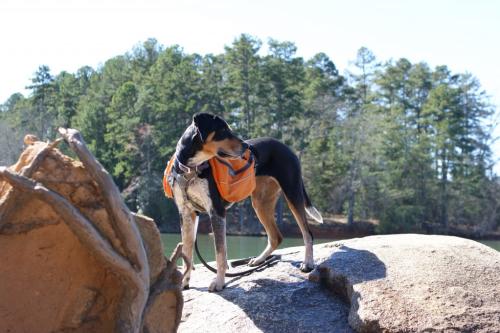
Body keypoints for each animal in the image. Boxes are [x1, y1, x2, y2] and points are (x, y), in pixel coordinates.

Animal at [169, 113, 324, 290]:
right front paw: (183, 283)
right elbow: (187, 253)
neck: (190, 170)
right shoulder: (186, 214)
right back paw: (259, 260)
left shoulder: (217, 211)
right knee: (276, 237)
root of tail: (285, 146)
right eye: (223, 130)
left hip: (292, 194)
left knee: (307, 233)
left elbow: (220, 253)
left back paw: (308, 263)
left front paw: (219, 282)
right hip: (260, 203)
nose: (246, 146)